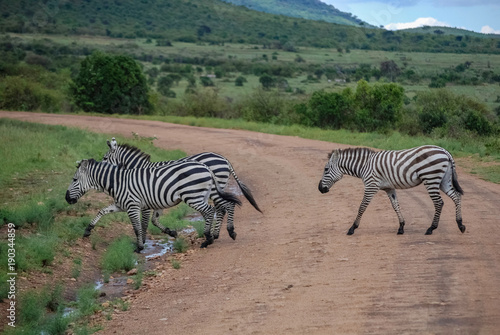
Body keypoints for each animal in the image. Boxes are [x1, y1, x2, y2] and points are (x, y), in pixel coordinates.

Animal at [65, 160, 241, 252]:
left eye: (74, 180)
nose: (66, 198)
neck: (118, 182)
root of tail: (206, 167)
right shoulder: (121, 204)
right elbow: (102, 211)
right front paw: (88, 230)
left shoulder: (132, 206)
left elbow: (137, 227)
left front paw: (139, 247)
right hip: (202, 195)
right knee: (221, 207)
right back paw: (219, 234)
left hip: (193, 196)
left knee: (212, 210)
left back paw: (209, 239)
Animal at [99, 138, 260, 240]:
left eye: (105, 158)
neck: (140, 169)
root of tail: (223, 158)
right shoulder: (155, 197)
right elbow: (154, 220)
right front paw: (171, 232)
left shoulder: (146, 198)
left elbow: (145, 222)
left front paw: (142, 241)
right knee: (221, 208)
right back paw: (215, 234)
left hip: (215, 188)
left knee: (224, 206)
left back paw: (226, 232)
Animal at [318, 146, 466, 236]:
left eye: (326, 169)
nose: (320, 189)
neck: (364, 165)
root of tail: (444, 151)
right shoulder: (389, 188)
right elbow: (396, 206)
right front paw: (401, 227)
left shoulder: (371, 186)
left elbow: (362, 207)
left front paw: (352, 228)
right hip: (443, 180)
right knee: (456, 196)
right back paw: (460, 224)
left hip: (431, 178)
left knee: (439, 202)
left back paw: (431, 228)